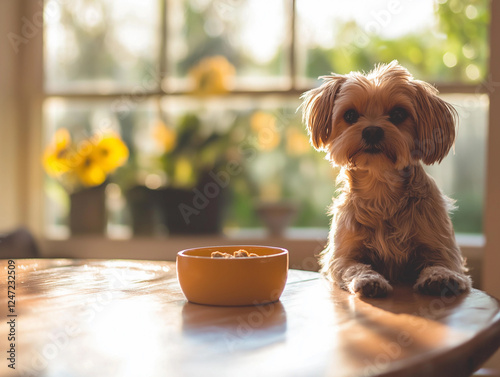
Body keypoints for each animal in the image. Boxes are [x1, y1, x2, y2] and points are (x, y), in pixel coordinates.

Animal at [300, 61, 472, 296]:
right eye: (350, 115)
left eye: (398, 114)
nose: (372, 131)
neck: (380, 185)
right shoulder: (342, 256)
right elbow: (355, 267)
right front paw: (368, 279)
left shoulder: (443, 248)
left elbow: (441, 263)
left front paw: (440, 276)